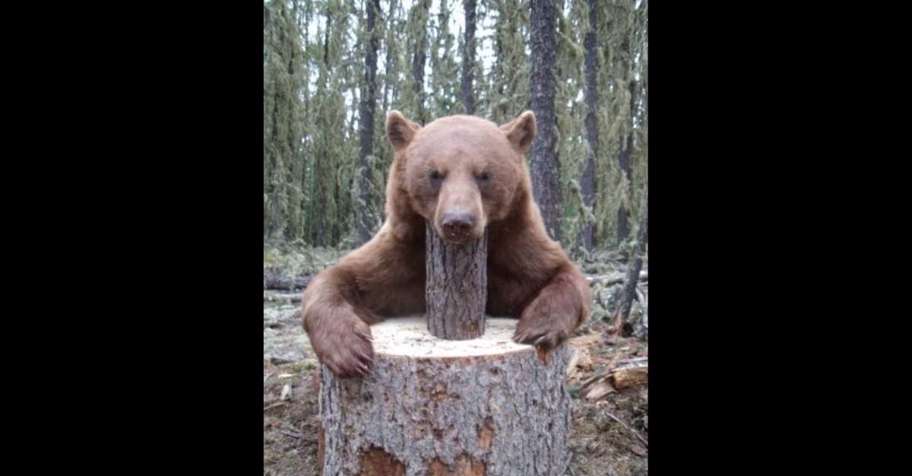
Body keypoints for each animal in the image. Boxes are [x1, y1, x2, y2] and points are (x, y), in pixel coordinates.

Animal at [301, 110, 591, 378]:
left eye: (484, 174)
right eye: (434, 174)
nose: (458, 222)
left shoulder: (516, 248)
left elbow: (560, 273)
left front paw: (537, 328)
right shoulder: (402, 255)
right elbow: (344, 278)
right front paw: (349, 349)